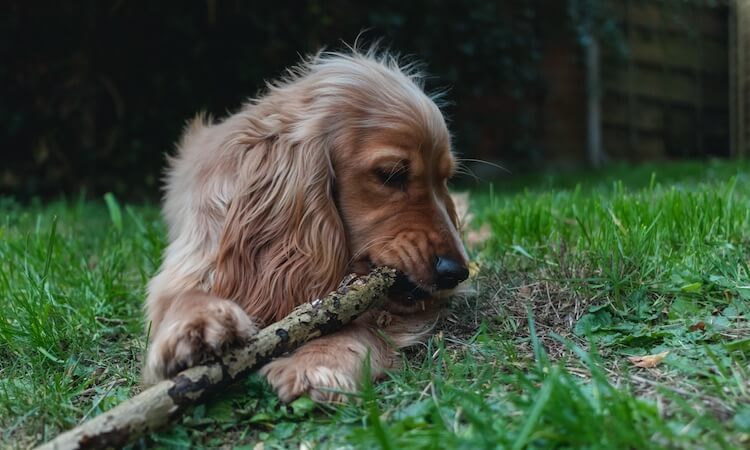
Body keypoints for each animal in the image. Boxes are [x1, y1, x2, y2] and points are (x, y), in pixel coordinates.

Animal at [143, 47, 468, 402]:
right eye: (391, 174)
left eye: (445, 179)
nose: (457, 273)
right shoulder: (193, 259)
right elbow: (183, 295)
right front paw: (199, 327)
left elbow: (356, 320)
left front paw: (319, 362)